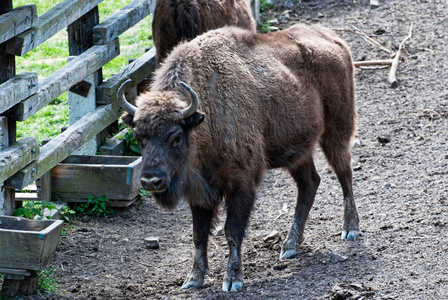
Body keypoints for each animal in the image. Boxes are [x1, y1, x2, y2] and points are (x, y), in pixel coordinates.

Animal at [118, 24, 360, 292]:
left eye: (176, 137)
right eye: (139, 136)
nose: (151, 181)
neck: (205, 116)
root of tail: (334, 39)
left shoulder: (241, 184)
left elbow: (232, 231)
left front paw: (232, 280)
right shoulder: (200, 191)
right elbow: (199, 234)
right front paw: (193, 279)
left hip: (336, 131)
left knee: (344, 174)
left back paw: (350, 229)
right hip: (298, 151)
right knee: (309, 183)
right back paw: (289, 246)